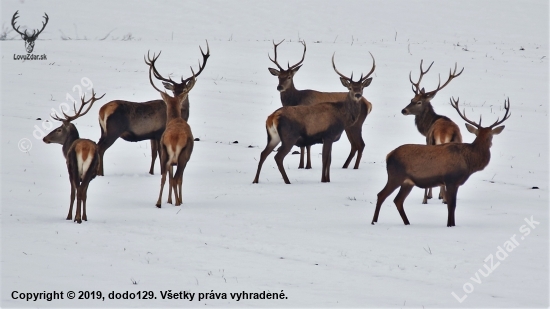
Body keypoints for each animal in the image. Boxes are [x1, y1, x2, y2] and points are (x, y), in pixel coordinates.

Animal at [42, 90, 106, 223]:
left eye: (59, 129)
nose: (45, 138)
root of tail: (85, 149)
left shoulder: (69, 171)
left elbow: (72, 194)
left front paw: (69, 216)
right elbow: (85, 194)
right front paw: (85, 217)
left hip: (74, 167)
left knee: (78, 190)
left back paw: (76, 218)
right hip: (90, 169)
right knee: (82, 191)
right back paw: (81, 218)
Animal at [374, 96, 512, 226]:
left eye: (490, 135)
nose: (490, 143)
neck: (469, 162)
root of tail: (388, 155)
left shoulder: (455, 183)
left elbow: (452, 205)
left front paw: (452, 224)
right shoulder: (451, 179)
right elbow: (451, 205)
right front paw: (450, 225)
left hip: (407, 182)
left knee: (398, 200)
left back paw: (407, 222)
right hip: (395, 176)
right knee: (381, 195)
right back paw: (374, 221)